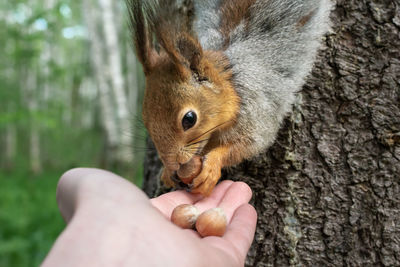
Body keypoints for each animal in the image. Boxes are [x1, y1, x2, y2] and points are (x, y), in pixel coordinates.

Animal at [127, 0, 332, 197]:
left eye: (189, 119)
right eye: (146, 120)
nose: (171, 165)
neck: (232, 79)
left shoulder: (256, 110)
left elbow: (249, 144)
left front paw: (211, 167)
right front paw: (167, 173)